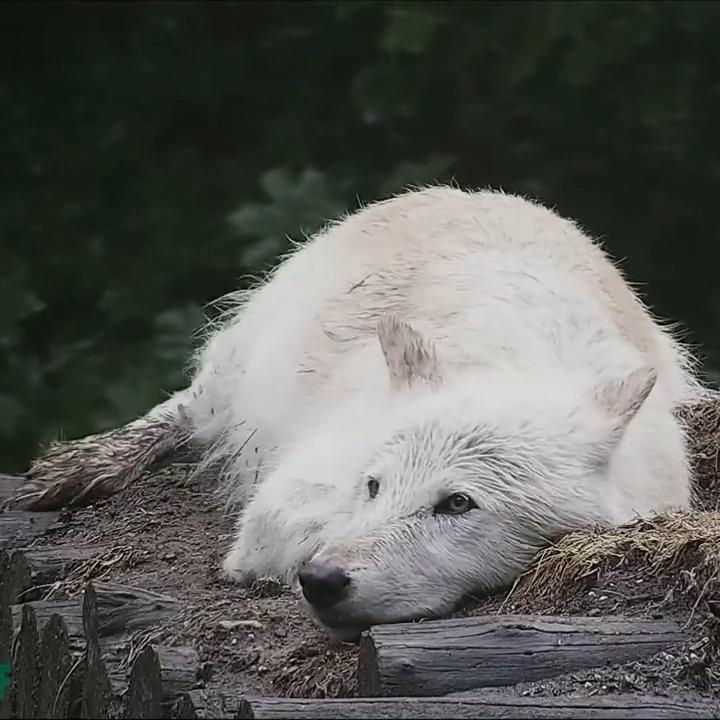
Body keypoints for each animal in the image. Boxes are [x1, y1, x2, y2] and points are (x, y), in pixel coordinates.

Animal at [23, 185, 703, 639]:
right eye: (374, 486)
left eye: (458, 503)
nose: (323, 580)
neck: (523, 360)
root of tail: (461, 190)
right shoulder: (296, 484)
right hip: (249, 357)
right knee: (191, 407)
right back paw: (80, 466)